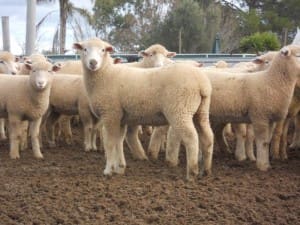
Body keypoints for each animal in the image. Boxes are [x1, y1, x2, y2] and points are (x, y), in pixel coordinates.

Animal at [72, 37, 213, 180]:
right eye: (84, 49)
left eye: (103, 50)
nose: (93, 63)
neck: (105, 74)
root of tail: (202, 83)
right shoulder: (119, 117)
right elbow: (119, 141)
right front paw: (120, 168)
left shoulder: (110, 113)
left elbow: (110, 142)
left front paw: (108, 170)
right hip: (200, 111)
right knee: (207, 136)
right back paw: (206, 171)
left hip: (180, 110)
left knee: (191, 137)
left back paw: (192, 173)